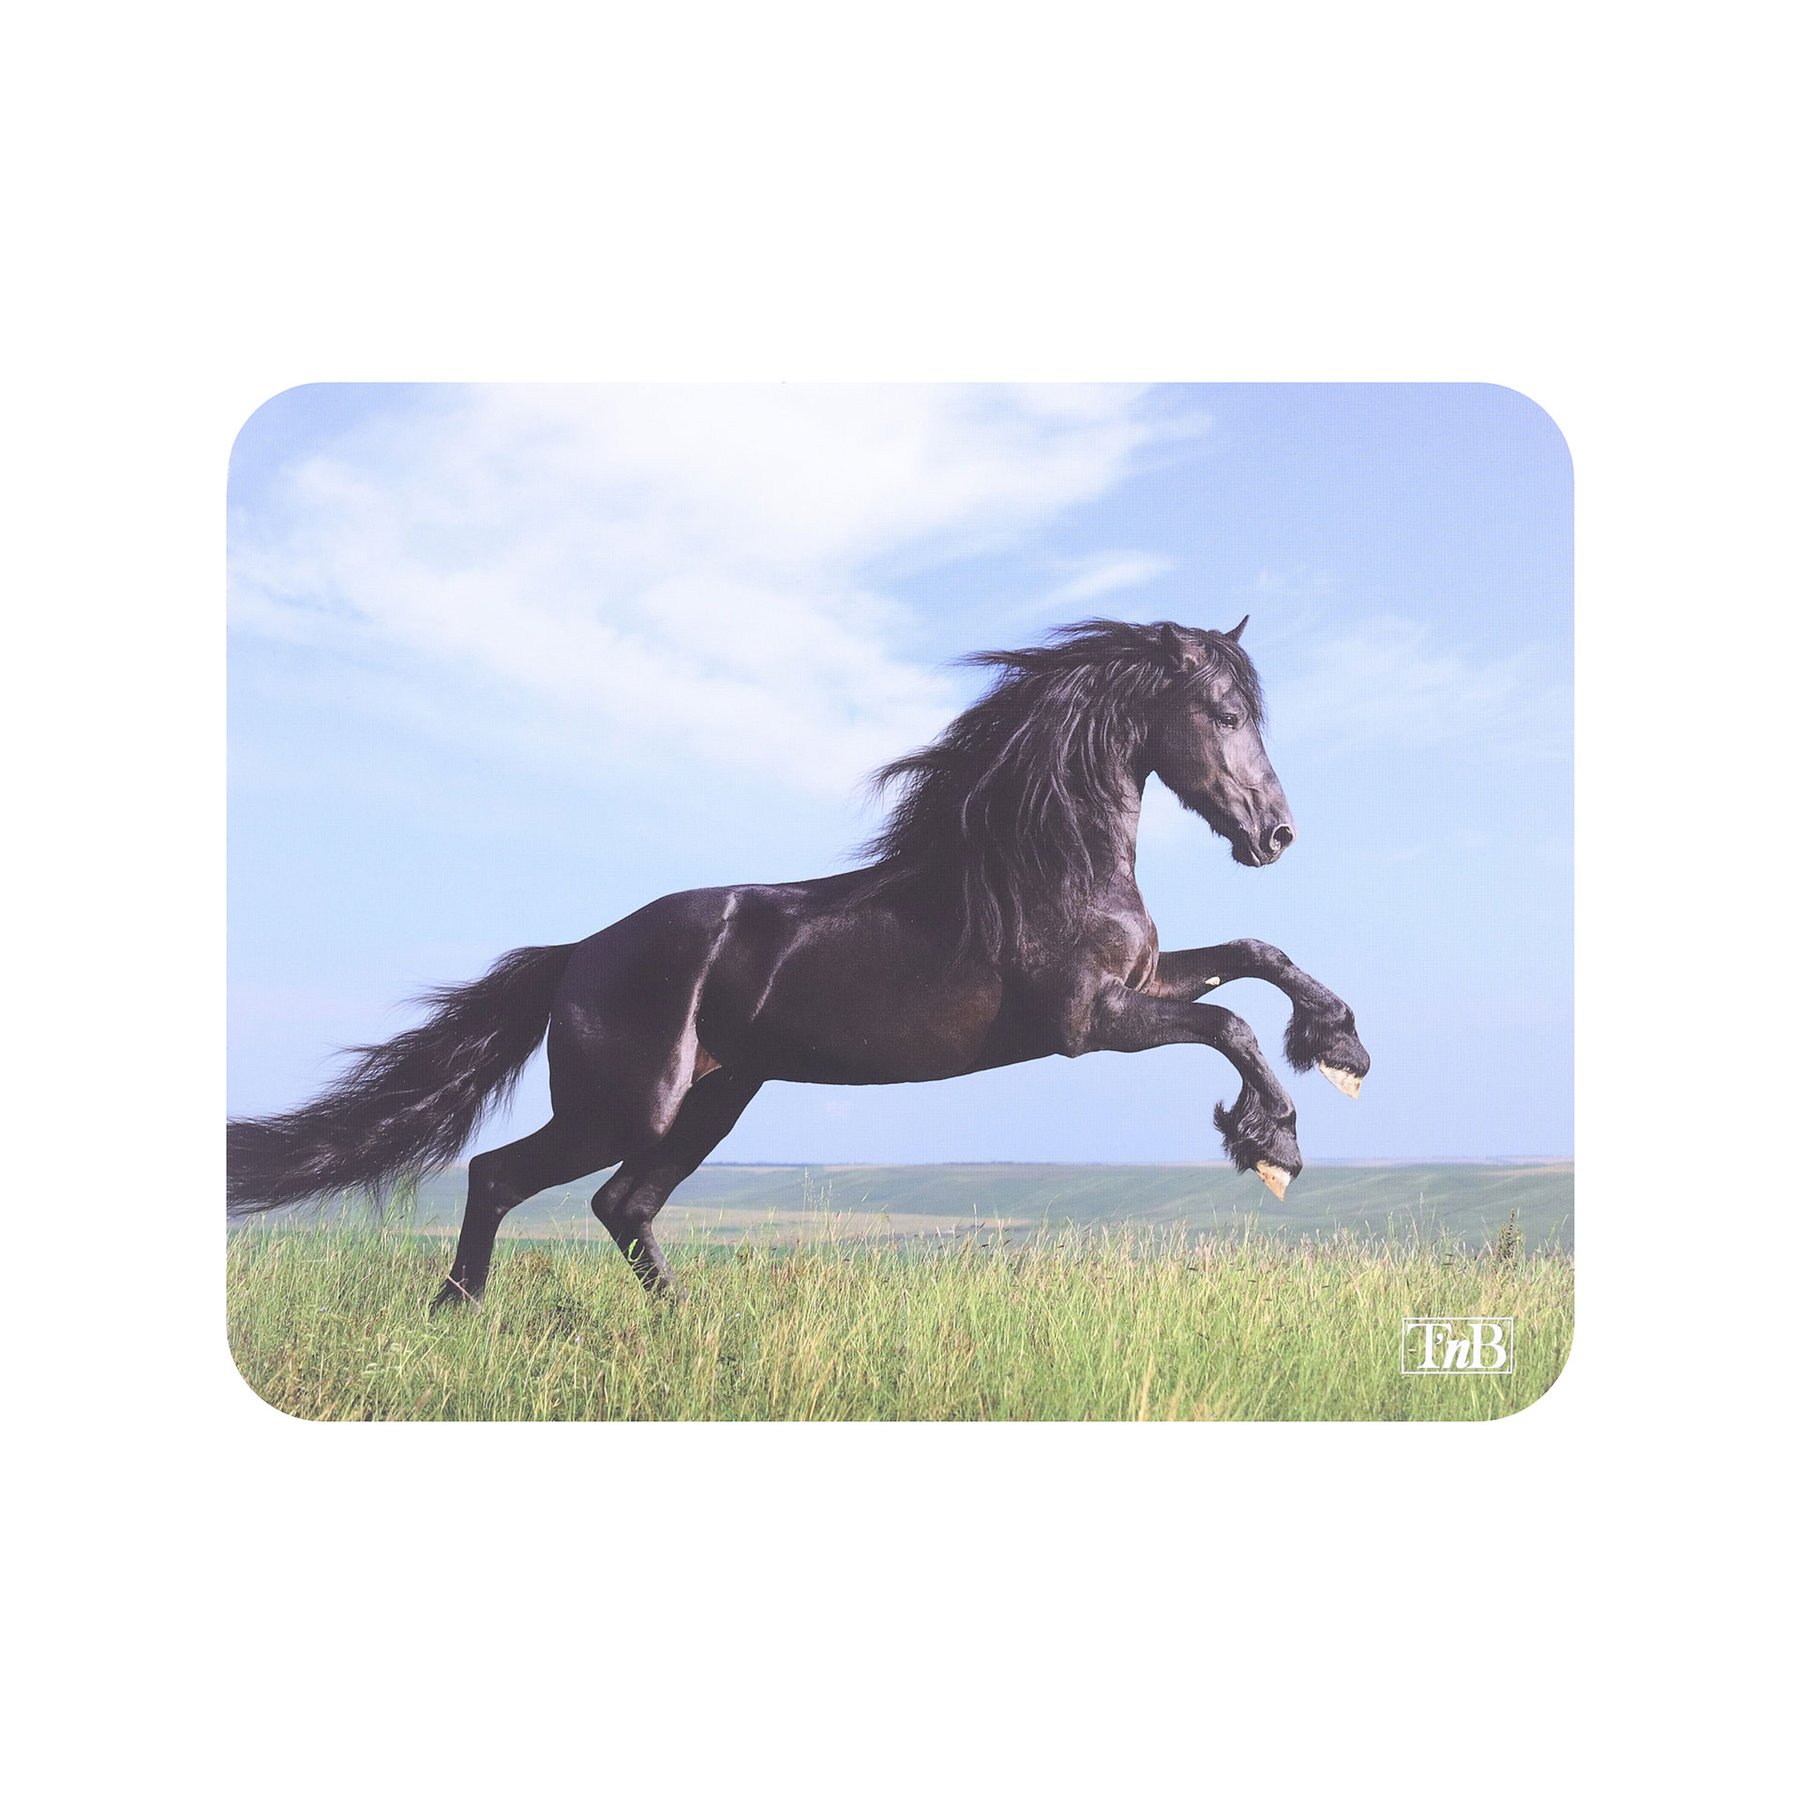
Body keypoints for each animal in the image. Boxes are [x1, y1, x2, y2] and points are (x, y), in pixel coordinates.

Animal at [226, 617, 1371, 1307]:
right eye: (1224, 715)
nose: (1275, 835)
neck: (1041, 861)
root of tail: (576, 956)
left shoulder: (1138, 983)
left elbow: (1255, 957)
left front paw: (1341, 1048)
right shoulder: (1088, 1023)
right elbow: (1227, 1021)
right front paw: (1273, 1143)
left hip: (714, 1099)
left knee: (623, 1207)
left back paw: (683, 1327)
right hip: (627, 1106)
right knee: (503, 1175)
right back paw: (458, 1312)